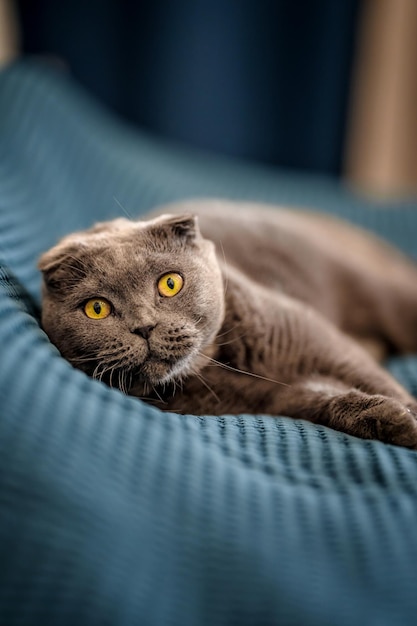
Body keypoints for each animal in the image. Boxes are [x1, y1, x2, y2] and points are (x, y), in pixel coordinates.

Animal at [38, 197, 417, 446]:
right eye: (97, 308)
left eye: (170, 283)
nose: (144, 326)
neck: (221, 365)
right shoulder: (266, 401)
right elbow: (316, 399)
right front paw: (390, 419)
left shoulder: (320, 340)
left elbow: (367, 374)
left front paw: (409, 414)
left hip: (374, 289)